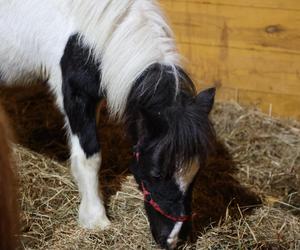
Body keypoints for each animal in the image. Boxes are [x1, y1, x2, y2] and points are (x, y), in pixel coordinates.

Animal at [0, 0, 216, 249]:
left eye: (197, 172)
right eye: (156, 174)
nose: (174, 239)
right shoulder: (76, 96)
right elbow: (89, 156)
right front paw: (95, 218)